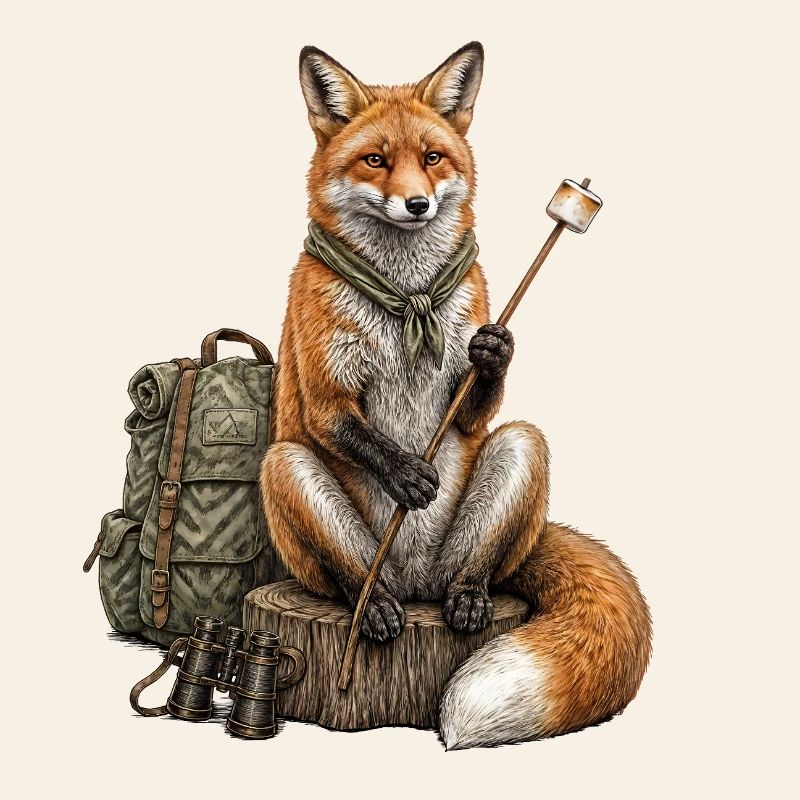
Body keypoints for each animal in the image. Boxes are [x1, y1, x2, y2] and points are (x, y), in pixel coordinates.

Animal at [260, 41, 651, 749]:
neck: (407, 297)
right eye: (376, 160)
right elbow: (351, 430)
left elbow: (475, 405)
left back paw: (468, 598)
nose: (416, 204)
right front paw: (405, 474)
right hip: (288, 471)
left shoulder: (467, 388)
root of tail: (419, 586)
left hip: (520, 458)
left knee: (480, 558)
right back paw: (374, 608)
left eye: (433, 157)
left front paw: (494, 352)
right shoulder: (325, 395)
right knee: (353, 577)